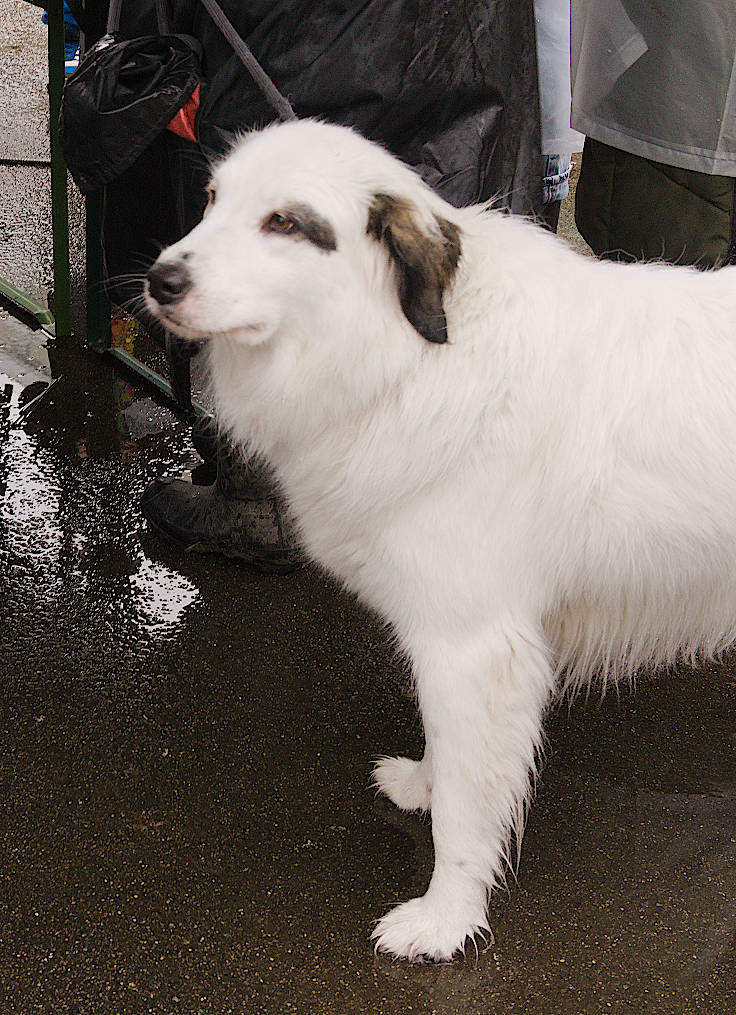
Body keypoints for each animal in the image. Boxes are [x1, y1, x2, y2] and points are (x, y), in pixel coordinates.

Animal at [146, 118, 734, 958]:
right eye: (211, 199)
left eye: (284, 222)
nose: (159, 279)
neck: (410, 357)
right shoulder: (448, 646)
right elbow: (451, 754)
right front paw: (424, 782)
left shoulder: (475, 646)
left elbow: (465, 812)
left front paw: (445, 920)